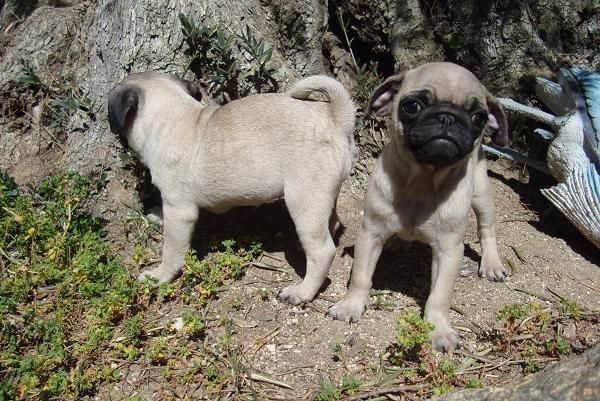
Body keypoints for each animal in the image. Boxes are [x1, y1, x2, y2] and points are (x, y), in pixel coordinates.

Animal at [106, 72, 356, 304]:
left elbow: (172, 251)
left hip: (303, 199)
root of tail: (335, 118)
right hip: (322, 195)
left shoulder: (179, 212)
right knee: (332, 223)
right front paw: (158, 215)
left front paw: (159, 276)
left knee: (323, 251)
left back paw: (302, 292)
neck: (175, 117)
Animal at [330, 61, 508, 352]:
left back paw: (492, 264)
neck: (423, 180)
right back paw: (400, 242)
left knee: (487, 229)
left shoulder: (449, 251)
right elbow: (360, 277)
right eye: (412, 106)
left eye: (479, 117)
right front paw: (351, 306)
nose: (448, 117)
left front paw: (440, 330)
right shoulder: (370, 234)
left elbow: (439, 296)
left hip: (482, 194)